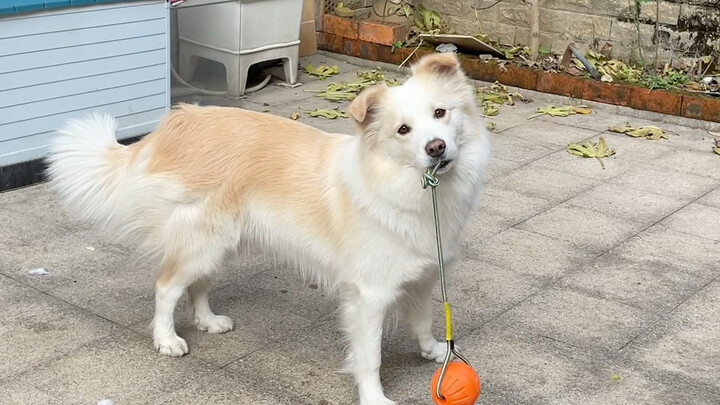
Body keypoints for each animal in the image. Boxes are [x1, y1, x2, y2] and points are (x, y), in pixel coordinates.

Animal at [46, 53, 490, 404]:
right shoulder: (369, 296)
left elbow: (423, 320)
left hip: (221, 243)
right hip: (203, 242)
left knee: (198, 285)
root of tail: (177, 121)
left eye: (440, 113)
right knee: (167, 287)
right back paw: (167, 339)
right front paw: (375, 398)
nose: (436, 148)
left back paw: (208, 321)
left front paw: (434, 352)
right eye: (403, 130)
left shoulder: (423, 276)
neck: (412, 188)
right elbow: (369, 357)